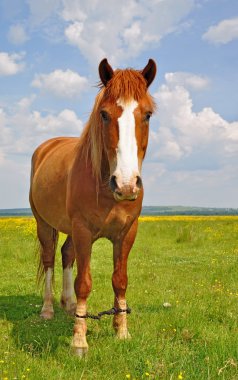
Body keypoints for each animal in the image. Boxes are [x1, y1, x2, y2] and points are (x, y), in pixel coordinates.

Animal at [29, 58, 156, 354]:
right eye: (105, 114)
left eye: (147, 115)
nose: (126, 184)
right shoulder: (84, 231)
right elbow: (84, 283)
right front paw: (79, 341)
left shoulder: (126, 234)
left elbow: (120, 280)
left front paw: (121, 331)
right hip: (44, 224)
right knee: (50, 259)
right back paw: (48, 309)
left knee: (66, 253)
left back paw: (69, 306)